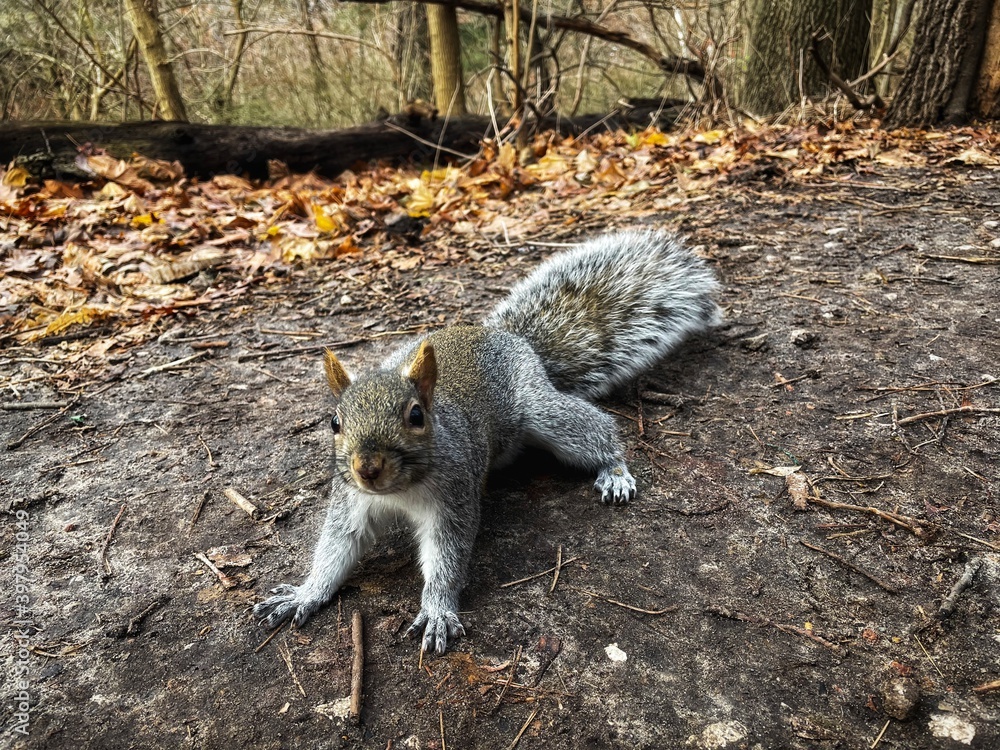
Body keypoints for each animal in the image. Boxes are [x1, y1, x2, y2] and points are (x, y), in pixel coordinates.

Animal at [253, 229, 721, 654]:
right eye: (334, 422)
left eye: (416, 416)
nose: (367, 468)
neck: (399, 492)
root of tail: (509, 337)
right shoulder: (350, 501)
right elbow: (336, 549)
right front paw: (304, 593)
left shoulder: (454, 499)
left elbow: (448, 556)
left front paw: (438, 610)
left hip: (542, 411)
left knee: (595, 430)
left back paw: (615, 471)